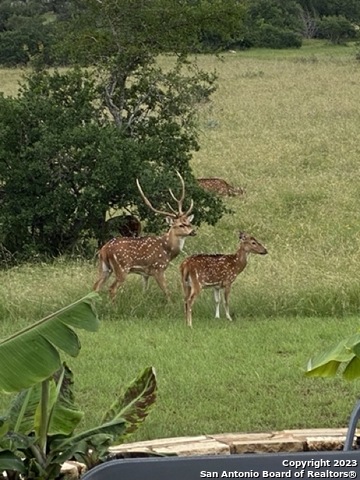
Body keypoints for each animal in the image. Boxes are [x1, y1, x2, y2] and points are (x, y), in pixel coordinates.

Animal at [93, 172, 194, 300]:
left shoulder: (145, 274)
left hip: (104, 267)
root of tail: (104, 250)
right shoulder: (158, 268)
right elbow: (167, 292)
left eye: (189, 223)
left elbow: (144, 291)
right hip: (122, 267)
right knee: (111, 288)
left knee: (96, 286)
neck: (168, 250)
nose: (193, 231)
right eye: (181, 225)